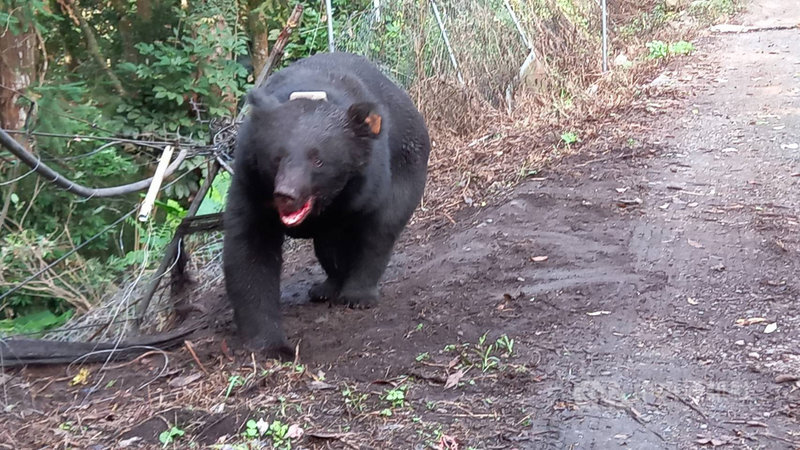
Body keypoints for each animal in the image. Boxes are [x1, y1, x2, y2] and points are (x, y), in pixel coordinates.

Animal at [223, 52, 431, 357]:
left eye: (318, 160)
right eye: (277, 157)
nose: (286, 194)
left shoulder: (366, 185)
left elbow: (371, 232)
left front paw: (356, 295)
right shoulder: (251, 182)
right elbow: (249, 251)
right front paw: (272, 345)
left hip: (409, 160)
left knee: (380, 228)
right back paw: (324, 288)